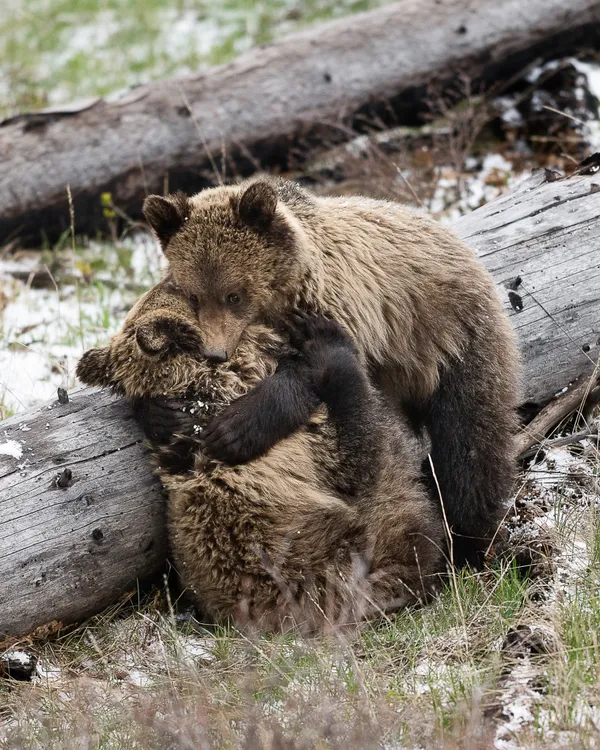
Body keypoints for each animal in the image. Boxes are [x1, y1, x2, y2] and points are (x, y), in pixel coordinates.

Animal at [141, 177, 521, 567]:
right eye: (194, 296)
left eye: (234, 295)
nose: (215, 352)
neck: (281, 299)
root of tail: (457, 242)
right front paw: (165, 414)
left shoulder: (338, 308)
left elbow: (313, 371)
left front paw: (235, 428)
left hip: (448, 336)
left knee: (470, 442)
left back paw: (471, 540)